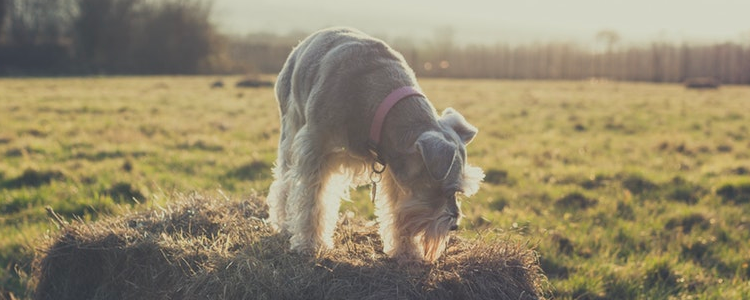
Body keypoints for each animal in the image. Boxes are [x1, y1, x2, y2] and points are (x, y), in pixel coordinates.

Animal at [268, 27, 484, 262]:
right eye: (444, 190)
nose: (454, 226)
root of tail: (303, 42)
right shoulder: (316, 151)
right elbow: (313, 203)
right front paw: (310, 244)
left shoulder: (394, 170)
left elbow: (396, 210)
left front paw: (406, 250)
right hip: (290, 129)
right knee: (284, 181)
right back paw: (284, 222)